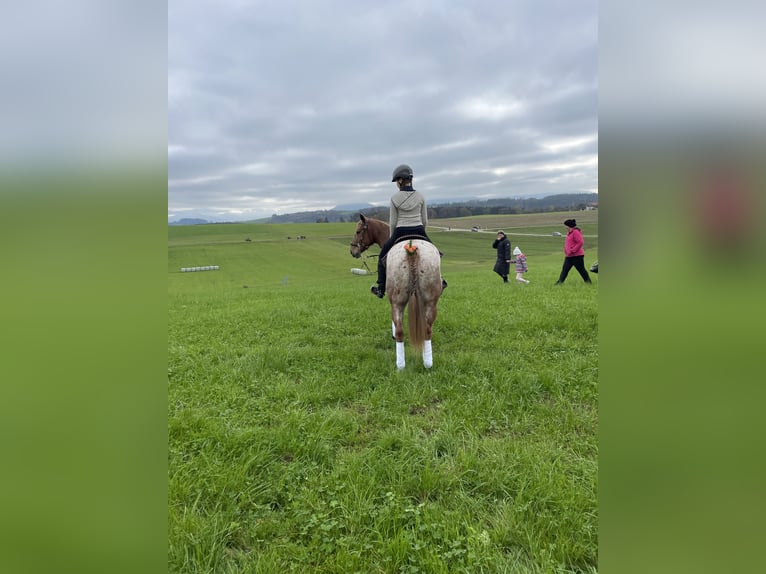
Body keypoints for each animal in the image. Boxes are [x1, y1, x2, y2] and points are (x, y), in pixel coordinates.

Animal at [350, 214, 444, 372]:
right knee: (427, 330)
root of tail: (412, 250)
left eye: (358, 231)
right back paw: (427, 363)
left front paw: (392, 335)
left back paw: (400, 366)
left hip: (397, 301)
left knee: (400, 331)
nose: (352, 251)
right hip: (431, 302)